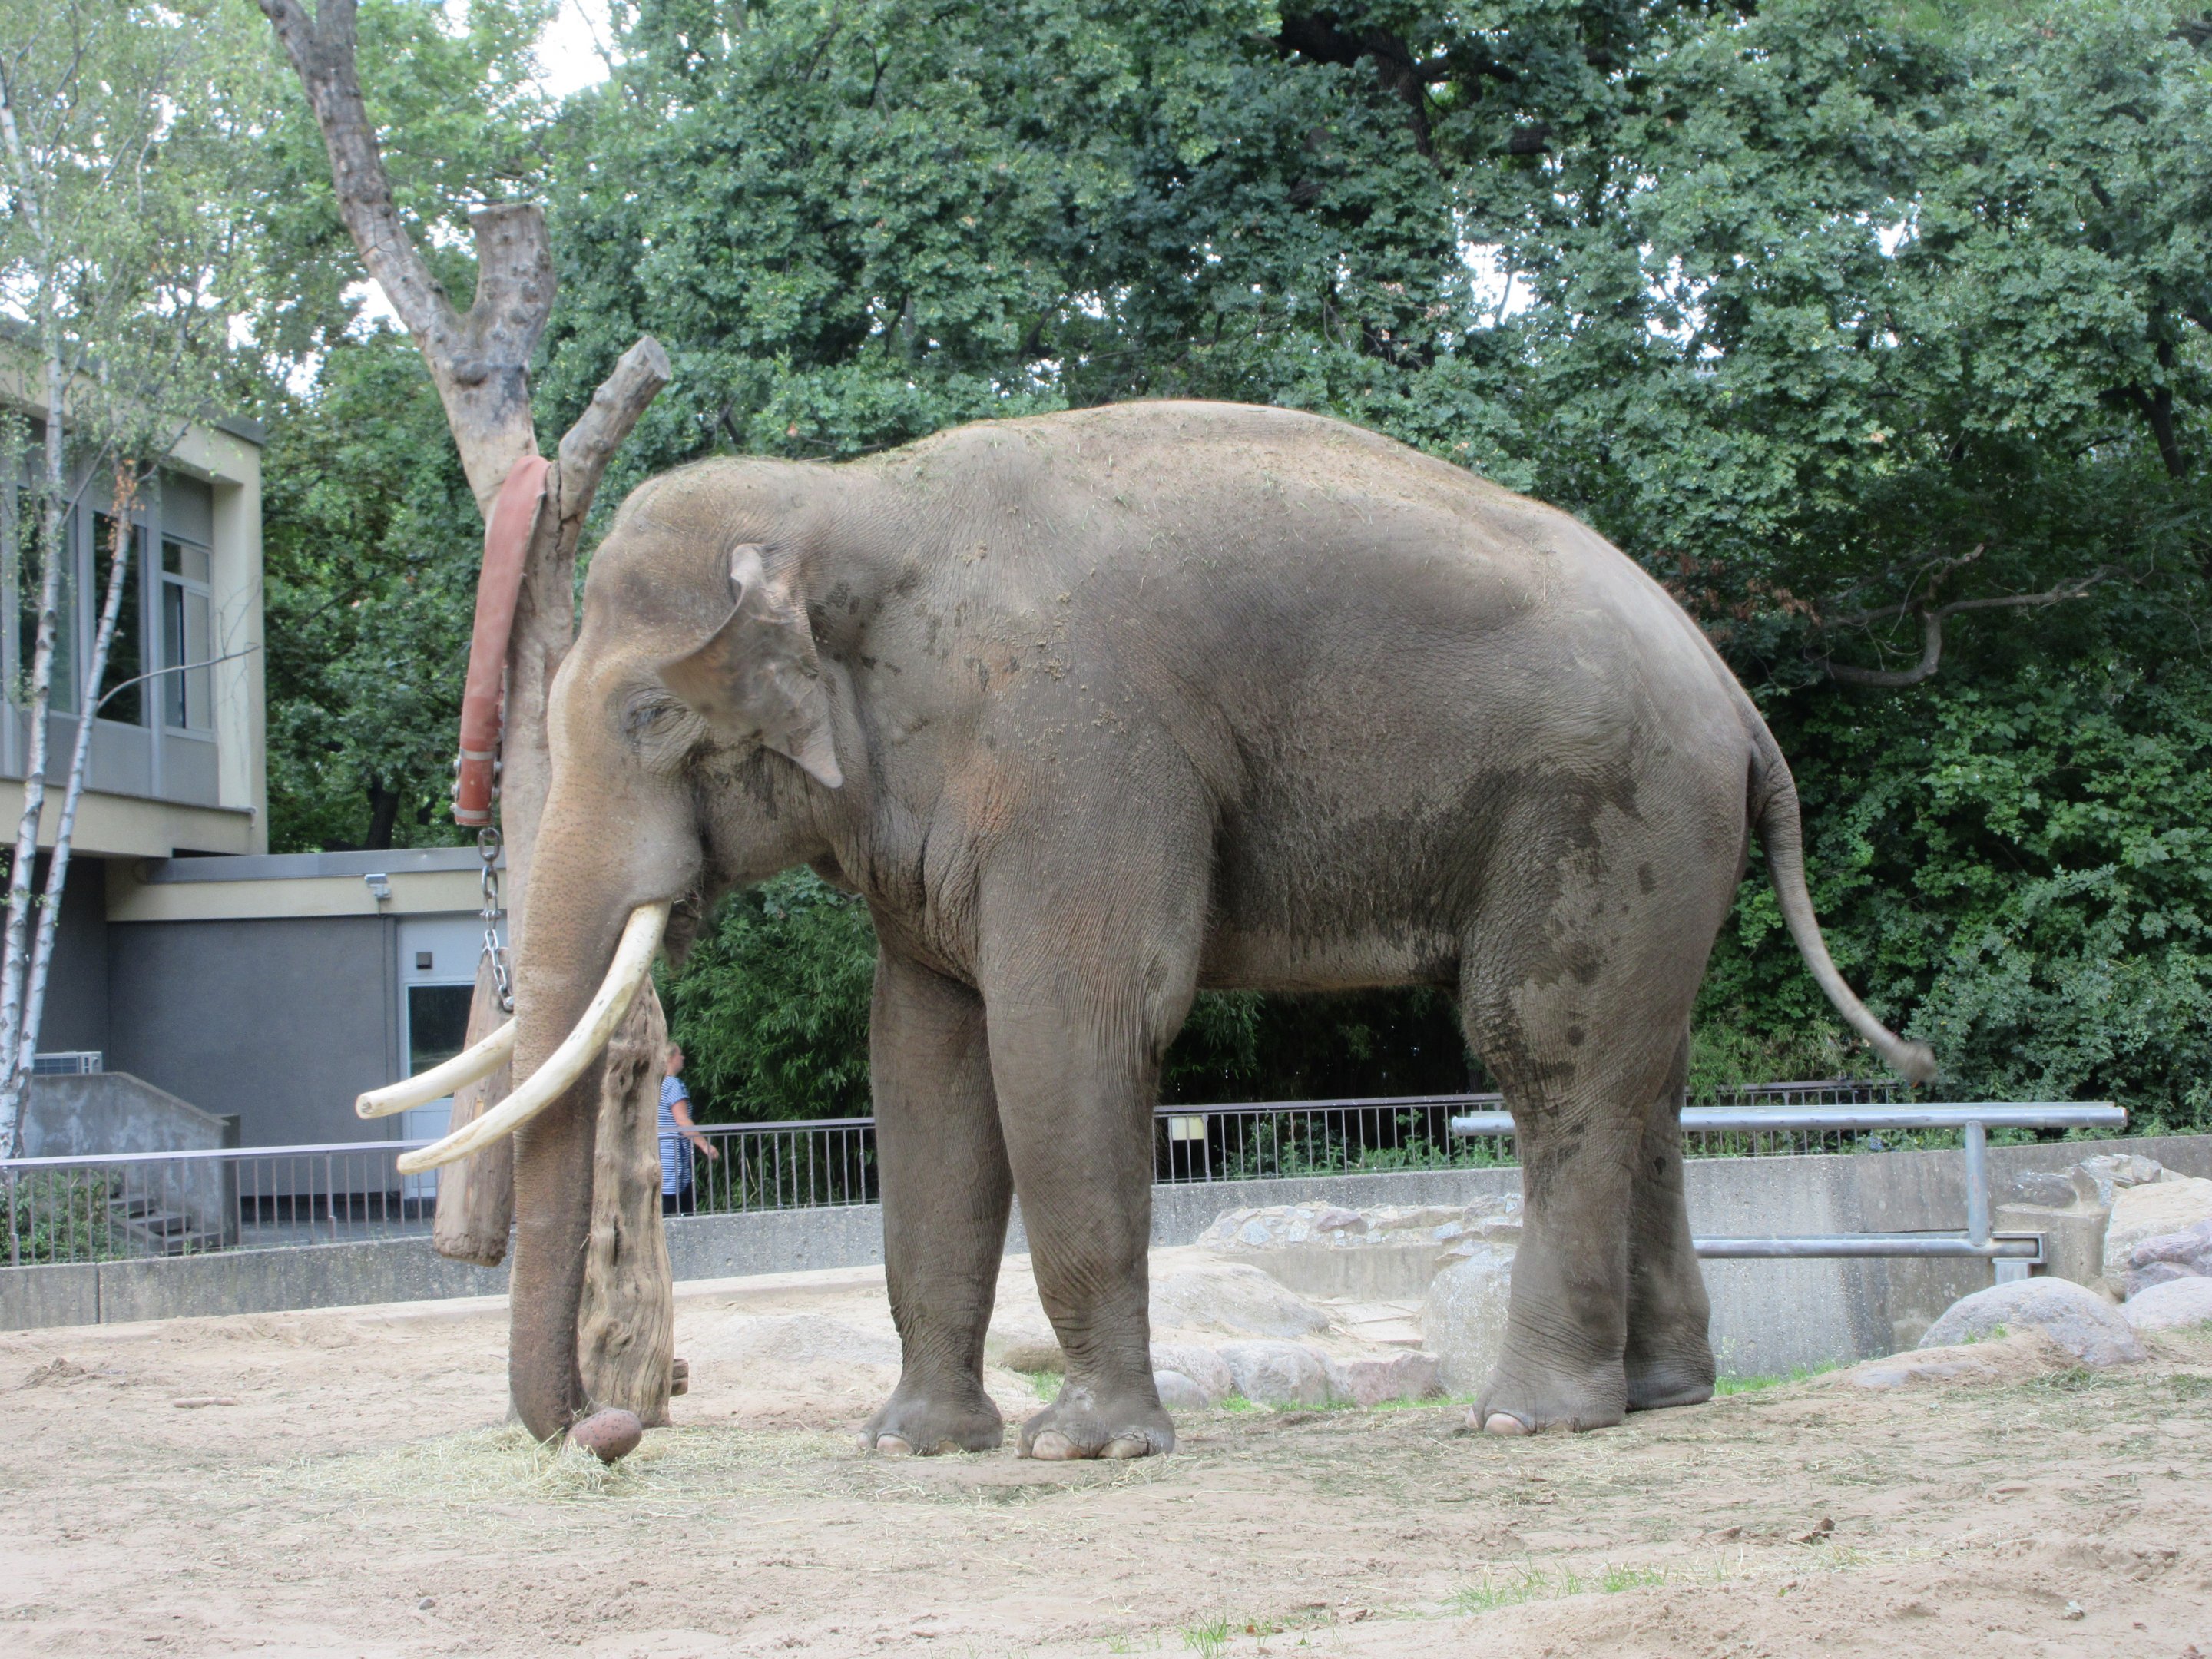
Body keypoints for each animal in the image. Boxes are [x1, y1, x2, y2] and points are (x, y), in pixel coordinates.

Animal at [464, 399, 1932, 1455]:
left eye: (649, 716)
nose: (606, 1428)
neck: (850, 494)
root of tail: (1734, 698)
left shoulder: (1079, 750)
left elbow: (1072, 1031)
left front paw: (1086, 1450)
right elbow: (925, 1066)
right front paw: (911, 1448)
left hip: (1601, 802)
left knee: (1550, 1053)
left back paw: (1527, 1418)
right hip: (1665, 835)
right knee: (1647, 1074)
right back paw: (1668, 1396)